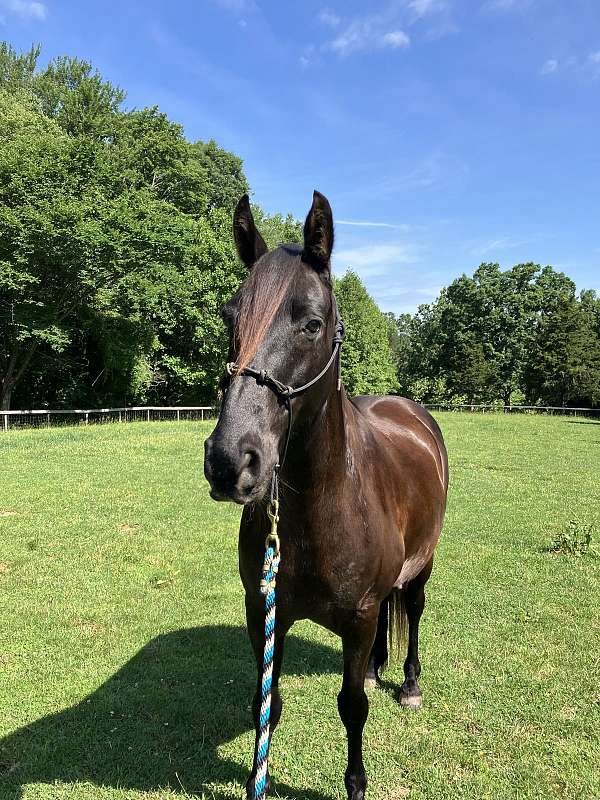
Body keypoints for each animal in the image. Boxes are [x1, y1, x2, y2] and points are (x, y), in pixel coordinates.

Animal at [204, 192, 448, 800]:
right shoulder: (263, 611)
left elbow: (352, 707)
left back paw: (408, 682)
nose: (229, 460)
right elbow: (266, 705)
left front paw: (356, 783)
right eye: (230, 319)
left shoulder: (358, 619)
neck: (320, 511)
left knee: (412, 608)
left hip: (424, 564)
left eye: (312, 324)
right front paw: (257, 780)